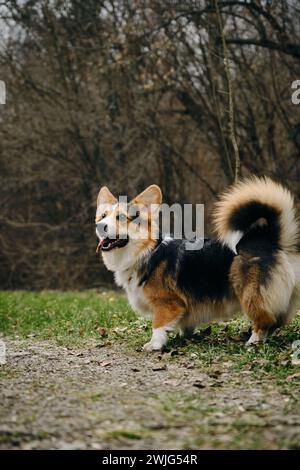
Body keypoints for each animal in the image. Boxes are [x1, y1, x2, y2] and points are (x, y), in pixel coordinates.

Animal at [95, 178, 300, 350]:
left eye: (121, 217)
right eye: (103, 216)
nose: (99, 226)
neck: (147, 252)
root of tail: (271, 240)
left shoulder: (167, 304)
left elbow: (158, 326)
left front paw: (154, 345)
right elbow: (185, 325)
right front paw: (185, 337)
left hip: (250, 294)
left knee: (265, 320)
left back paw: (253, 342)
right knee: (277, 321)